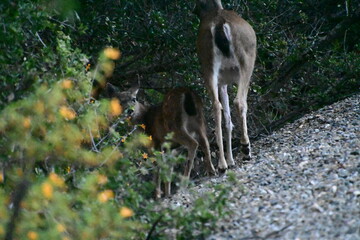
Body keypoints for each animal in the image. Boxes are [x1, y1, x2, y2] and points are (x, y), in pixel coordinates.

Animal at [194, 0, 256, 170]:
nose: (194, 10)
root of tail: (219, 24)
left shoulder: (222, 82)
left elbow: (227, 119)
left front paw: (230, 160)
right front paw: (234, 157)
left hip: (208, 65)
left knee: (216, 106)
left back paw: (221, 164)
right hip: (246, 60)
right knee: (240, 101)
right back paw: (245, 149)